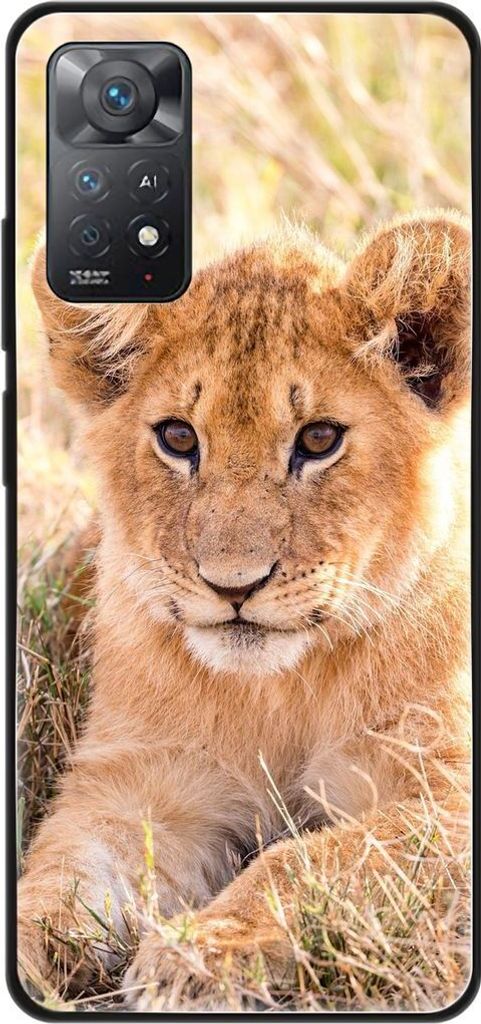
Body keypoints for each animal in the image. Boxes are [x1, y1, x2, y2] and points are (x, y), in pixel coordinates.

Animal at [18, 211, 471, 1009]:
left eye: (319, 439)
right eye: (177, 437)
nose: (233, 586)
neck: (280, 691)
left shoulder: (446, 795)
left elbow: (314, 859)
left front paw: (196, 957)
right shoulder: (138, 784)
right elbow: (61, 873)